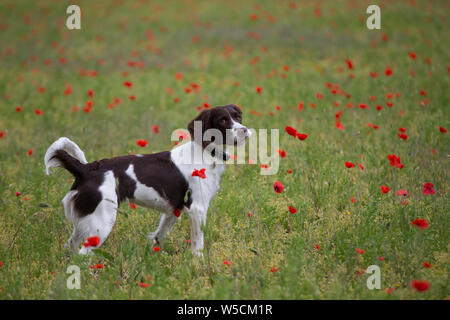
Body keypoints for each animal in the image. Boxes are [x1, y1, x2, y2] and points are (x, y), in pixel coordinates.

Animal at [44, 104, 250, 256]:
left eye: (238, 116)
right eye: (223, 120)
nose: (245, 130)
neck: (205, 152)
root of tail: (87, 169)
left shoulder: (173, 211)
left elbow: (159, 236)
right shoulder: (197, 208)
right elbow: (198, 244)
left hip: (86, 221)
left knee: (70, 248)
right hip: (101, 223)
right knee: (82, 255)